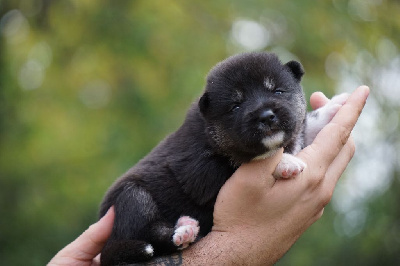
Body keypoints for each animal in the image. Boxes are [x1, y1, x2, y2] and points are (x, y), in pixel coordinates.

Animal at [97, 51, 346, 264]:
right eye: (236, 106)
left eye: (277, 91)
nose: (266, 116)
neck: (211, 131)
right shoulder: (200, 172)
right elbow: (242, 163)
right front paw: (285, 162)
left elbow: (307, 126)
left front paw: (335, 105)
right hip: (132, 198)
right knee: (149, 232)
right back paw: (182, 232)